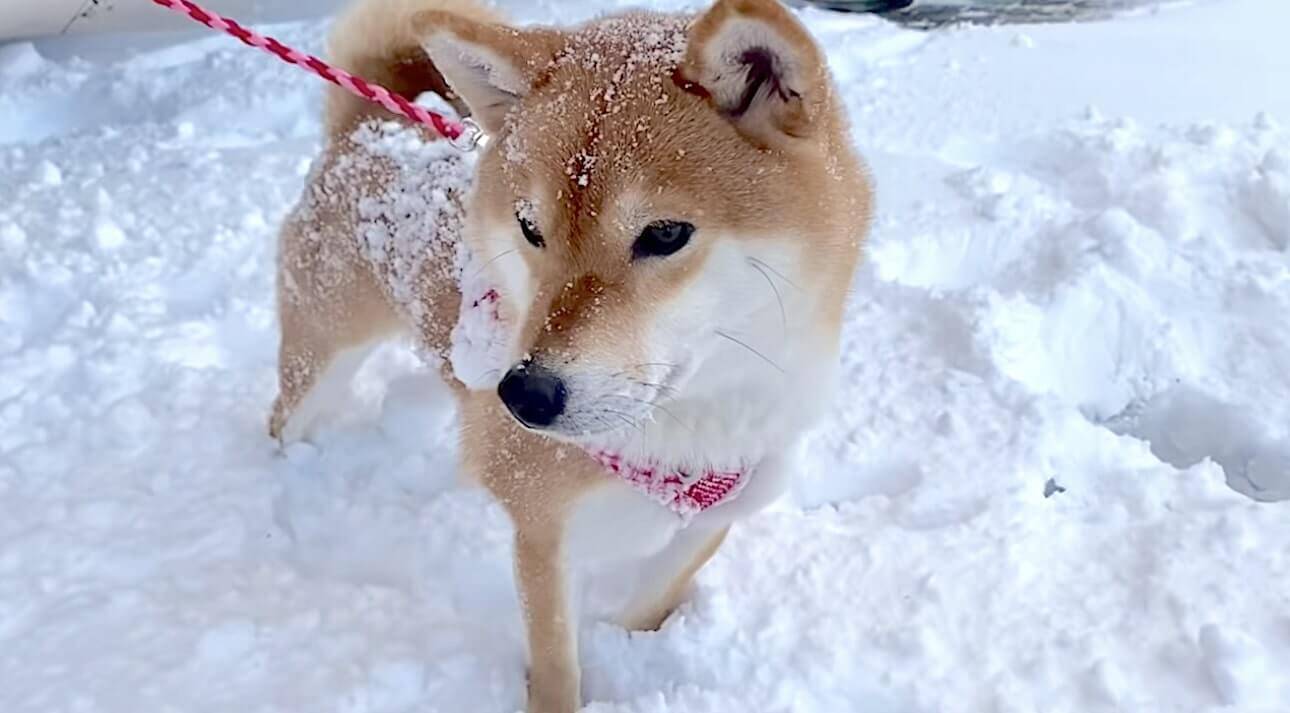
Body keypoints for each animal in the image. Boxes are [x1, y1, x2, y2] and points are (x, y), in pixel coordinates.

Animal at [272, 0, 877, 706]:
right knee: (285, 417)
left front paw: (625, 648)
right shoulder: (543, 533)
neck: (686, 436)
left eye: (664, 233)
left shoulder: (717, 515)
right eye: (530, 228)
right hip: (322, 352)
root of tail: (369, 127)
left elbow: (650, 602)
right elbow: (558, 660)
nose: (523, 397)